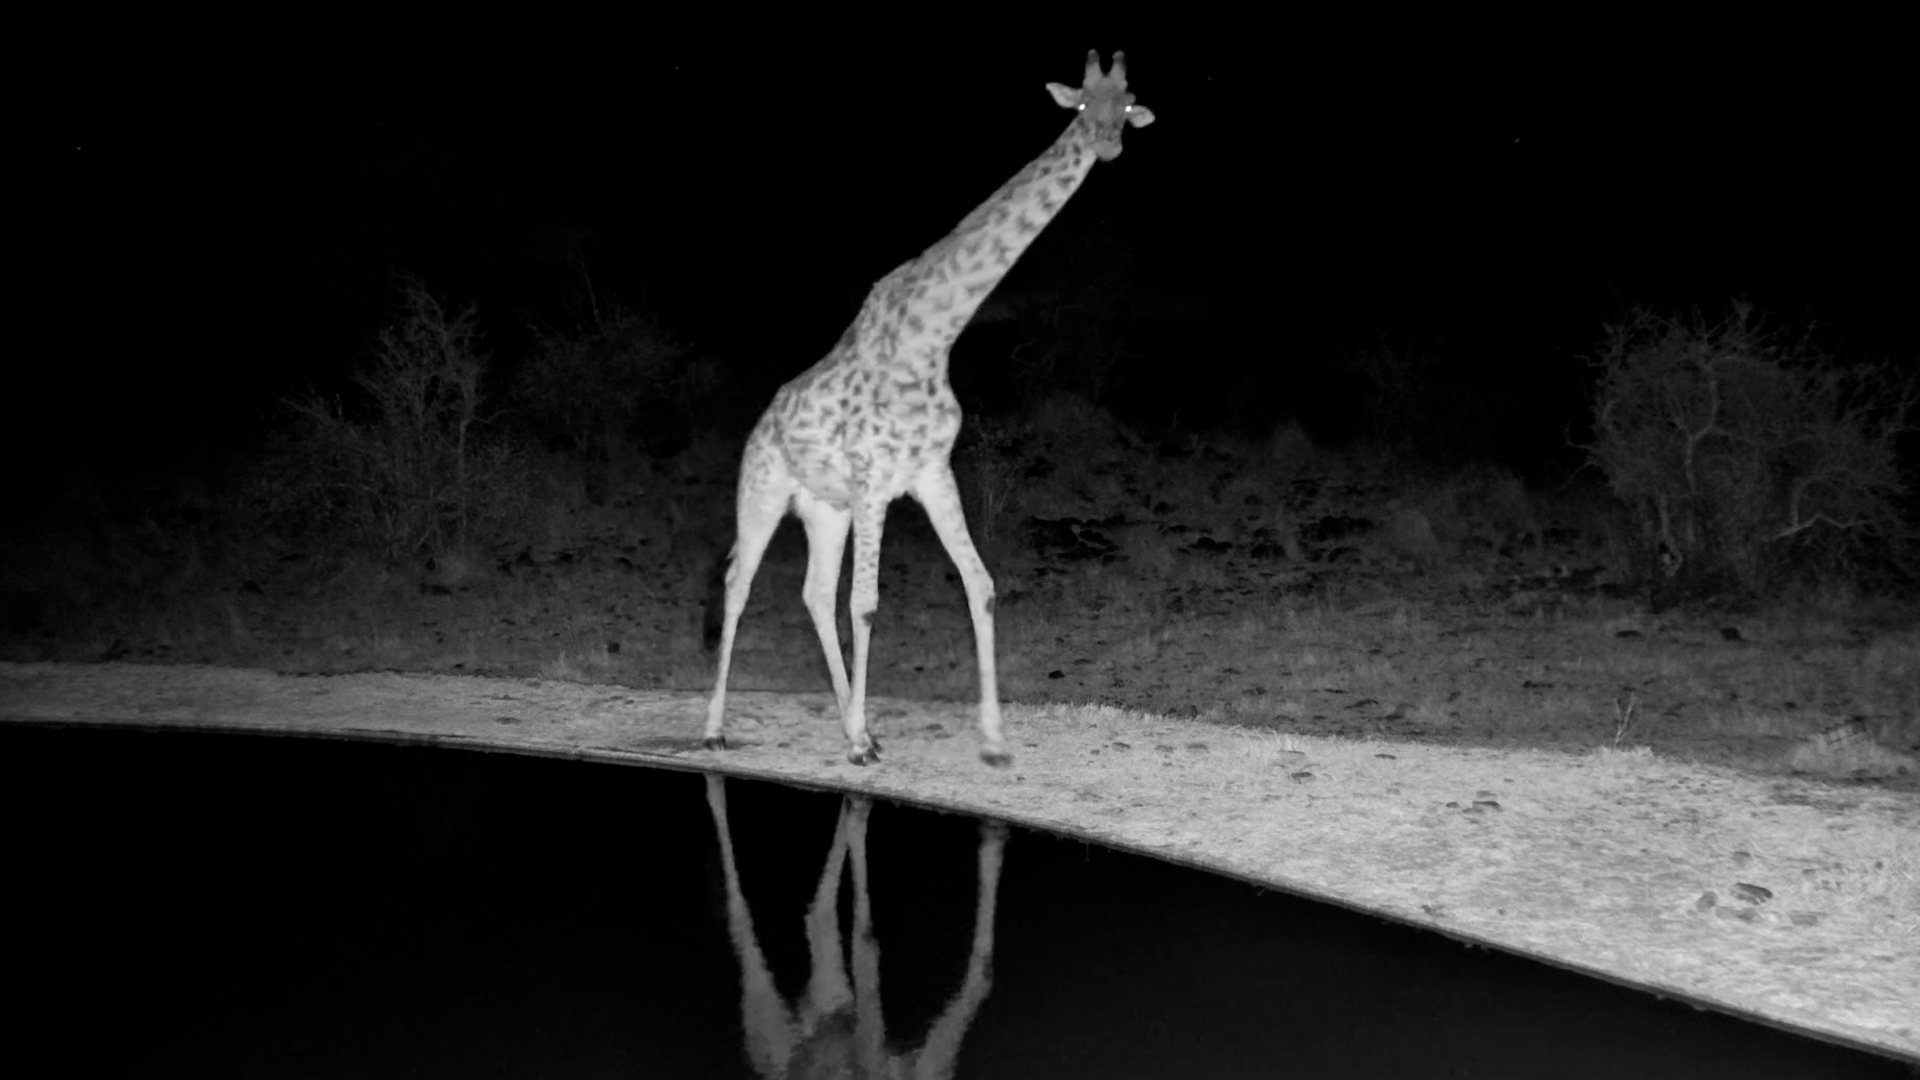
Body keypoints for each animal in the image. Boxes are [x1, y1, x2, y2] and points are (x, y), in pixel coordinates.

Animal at [705, 50, 1154, 766]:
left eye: (1128, 103)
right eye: (1083, 104)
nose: (1107, 143)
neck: (933, 335)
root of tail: (761, 425)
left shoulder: (928, 474)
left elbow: (981, 583)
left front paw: (992, 741)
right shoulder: (872, 478)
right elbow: (866, 603)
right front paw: (860, 746)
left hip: (826, 509)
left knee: (814, 592)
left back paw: (857, 724)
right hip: (765, 491)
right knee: (738, 584)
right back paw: (719, 728)